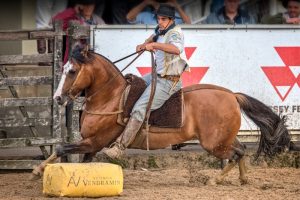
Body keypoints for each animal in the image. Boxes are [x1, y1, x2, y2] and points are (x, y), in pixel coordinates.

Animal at [31, 45, 294, 184]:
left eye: (72, 71)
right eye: (64, 68)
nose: (57, 98)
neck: (110, 97)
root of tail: (232, 95)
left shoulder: (94, 142)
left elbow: (60, 148)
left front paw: (36, 171)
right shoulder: (91, 146)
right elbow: (80, 162)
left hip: (214, 144)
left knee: (237, 153)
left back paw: (216, 179)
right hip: (223, 138)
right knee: (241, 150)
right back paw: (242, 179)